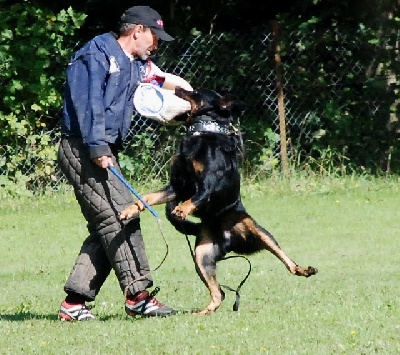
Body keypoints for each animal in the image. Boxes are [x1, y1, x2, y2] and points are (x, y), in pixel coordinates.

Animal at [119, 87, 318, 316]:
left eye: (195, 92)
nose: (177, 87)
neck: (202, 133)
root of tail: (229, 239)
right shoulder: (177, 187)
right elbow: (149, 197)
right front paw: (130, 210)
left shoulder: (208, 184)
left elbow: (196, 197)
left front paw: (182, 210)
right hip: (202, 256)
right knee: (219, 294)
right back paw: (201, 313)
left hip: (259, 232)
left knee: (286, 261)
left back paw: (304, 269)